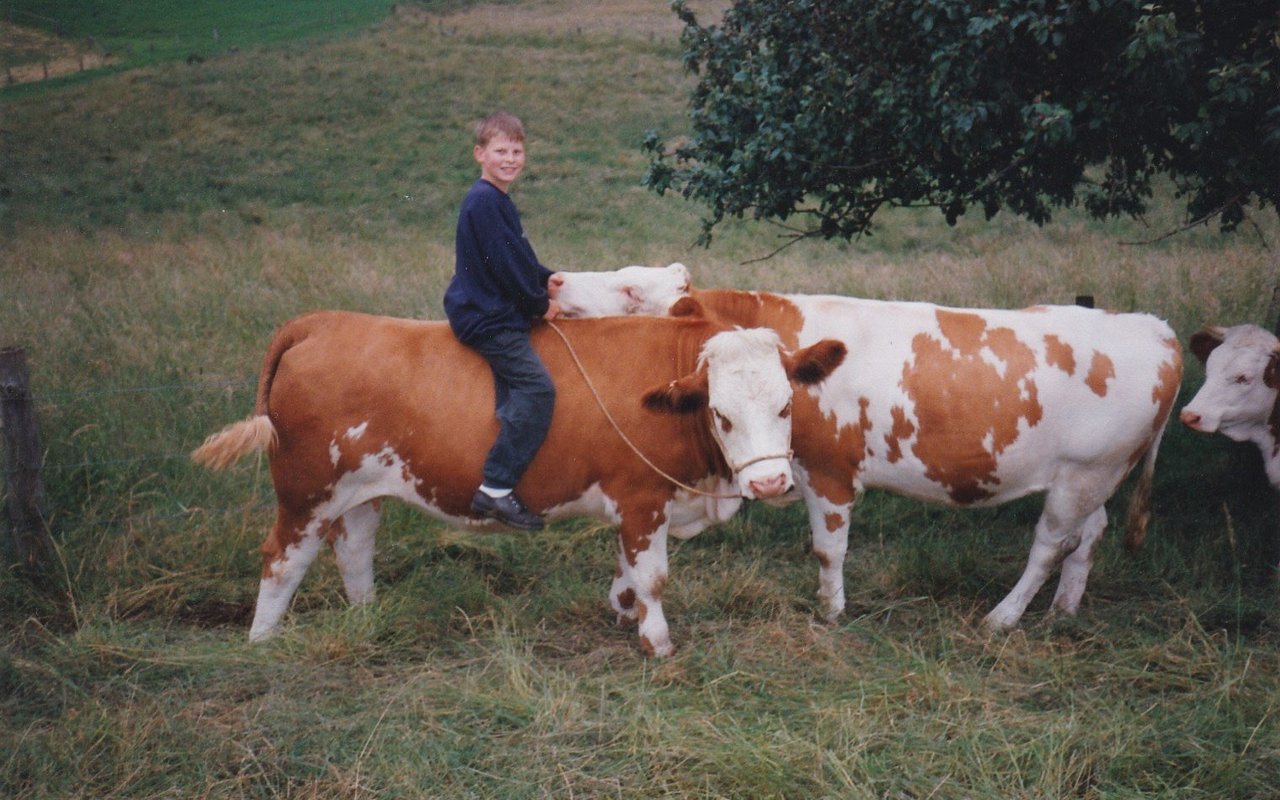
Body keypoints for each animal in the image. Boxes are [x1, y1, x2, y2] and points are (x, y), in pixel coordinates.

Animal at [581, 273, 1177, 629]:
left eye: (631, 292)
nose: (561, 282)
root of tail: (1155, 328)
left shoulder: (828, 471)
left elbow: (828, 550)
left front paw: (831, 612)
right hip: (1090, 477)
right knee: (1089, 534)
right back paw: (1063, 611)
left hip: (1084, 475)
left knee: (1050, 545)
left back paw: (1004, 617)